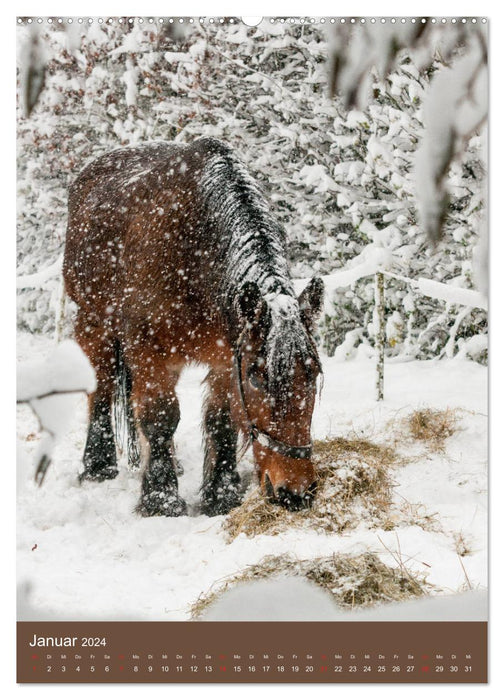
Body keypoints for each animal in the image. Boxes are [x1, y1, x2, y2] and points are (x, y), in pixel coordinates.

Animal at [63, 139, 324, 516]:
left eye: (313, 373)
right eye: (258, 378)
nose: (296, 491)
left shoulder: (225, 355)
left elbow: (221, 420)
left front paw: (220, 494)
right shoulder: (148, 349)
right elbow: (160, 416)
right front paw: (160, 499)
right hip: (94, 324)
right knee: (103, 388)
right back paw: (98, 465)